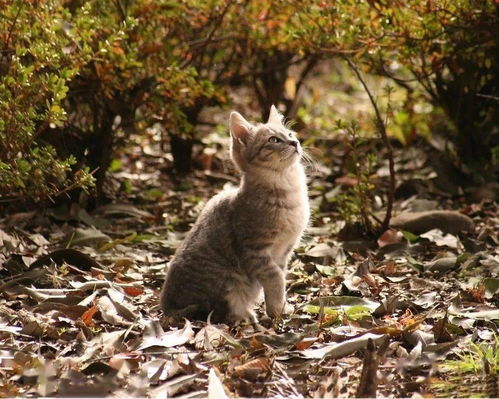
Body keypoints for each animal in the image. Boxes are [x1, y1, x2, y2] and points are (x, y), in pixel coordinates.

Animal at [161, 104, 308, 324]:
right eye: (273, 140)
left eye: (290, 133)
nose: (295, 142)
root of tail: (167, 308)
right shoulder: (254, 251)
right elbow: (275, 278)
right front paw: (276, 310)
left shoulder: (284, 252)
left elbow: (280, 276)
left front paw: (280, 306)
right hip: (228, 282)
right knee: (222, 311)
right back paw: (247, 316)